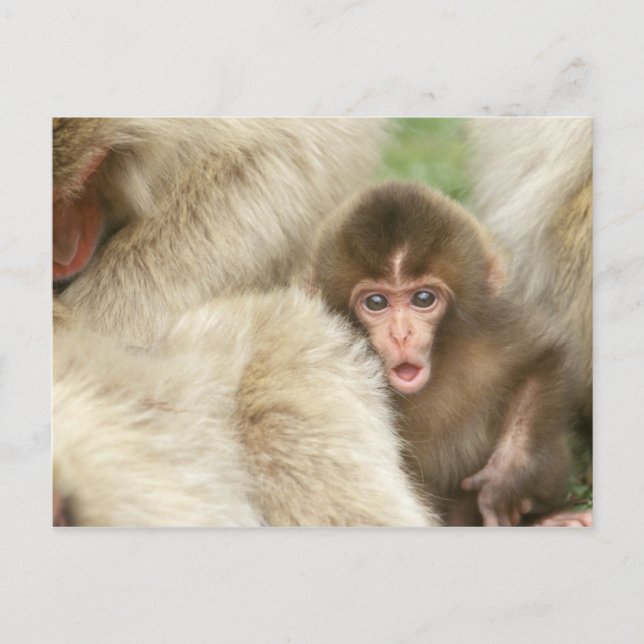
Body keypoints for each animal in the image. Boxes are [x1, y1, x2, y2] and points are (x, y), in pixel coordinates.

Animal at [311, 181, 580, 526]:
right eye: (376, 302)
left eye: (423, 298)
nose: (401, 335)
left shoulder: (493, 326)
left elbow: (542, 360)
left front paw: (507, 478)